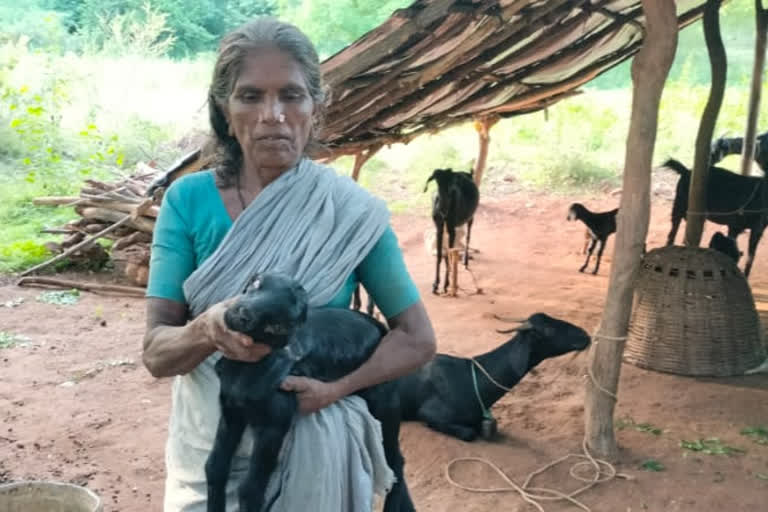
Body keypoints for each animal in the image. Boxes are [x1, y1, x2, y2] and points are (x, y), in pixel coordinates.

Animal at [207, 274, 414, 510]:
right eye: (256, 284)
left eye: (276, 326)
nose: (242, 314)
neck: (244, 370)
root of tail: (382, 328)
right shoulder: (231, 409)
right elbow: (215, 467)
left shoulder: (274, 424)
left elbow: (251, 488)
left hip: (385, 406)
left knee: (395, 462)